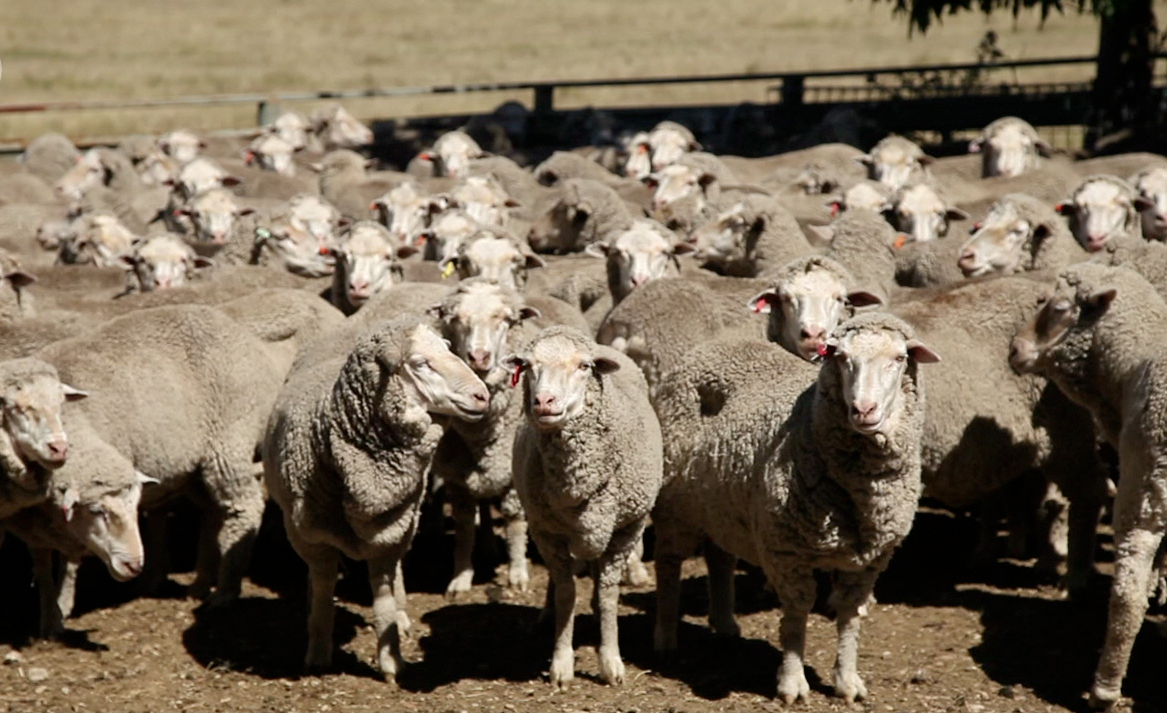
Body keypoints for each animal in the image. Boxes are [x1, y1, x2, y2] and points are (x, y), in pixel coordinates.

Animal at [35, 305, 285, 604]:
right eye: (96, 511)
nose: (132, 564)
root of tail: (259, 351)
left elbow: (70, 557)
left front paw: (62, 604)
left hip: (230, 438)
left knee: (245, 506)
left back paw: (225, 590)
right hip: (194, 469)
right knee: (214, 510)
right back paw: (200, 583)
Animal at [264, 315, 489, 680]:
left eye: (447, 348)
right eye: (421, 363)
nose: (482, 395)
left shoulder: (391, 531)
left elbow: (383, 594)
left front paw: (391, 659)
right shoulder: (310, 536)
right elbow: (324, 585)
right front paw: (318, 651)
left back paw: (401, 616)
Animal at [505, 326, 662, 687]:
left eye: (584, 366)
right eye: (528, 365)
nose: (544, 401)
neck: (576, 481)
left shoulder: (626, 530)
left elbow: (608, 594)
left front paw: (611, 662)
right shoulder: (546, 531)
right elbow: (566, 593)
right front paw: (561, 664)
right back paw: (548, 613)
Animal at [650, 313, 938, 703]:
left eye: (899, 358)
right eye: (841, 358)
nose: (863, 410)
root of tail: (708, 347)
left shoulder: (871, 559)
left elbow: (850, 616)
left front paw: (847, 681)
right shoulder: (786, 549)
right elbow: (797, 614)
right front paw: (792, 683)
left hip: (723, 503)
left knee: (719, 558)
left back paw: (725, 624)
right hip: (674, 504)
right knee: (667, 565)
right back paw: (665, 638)